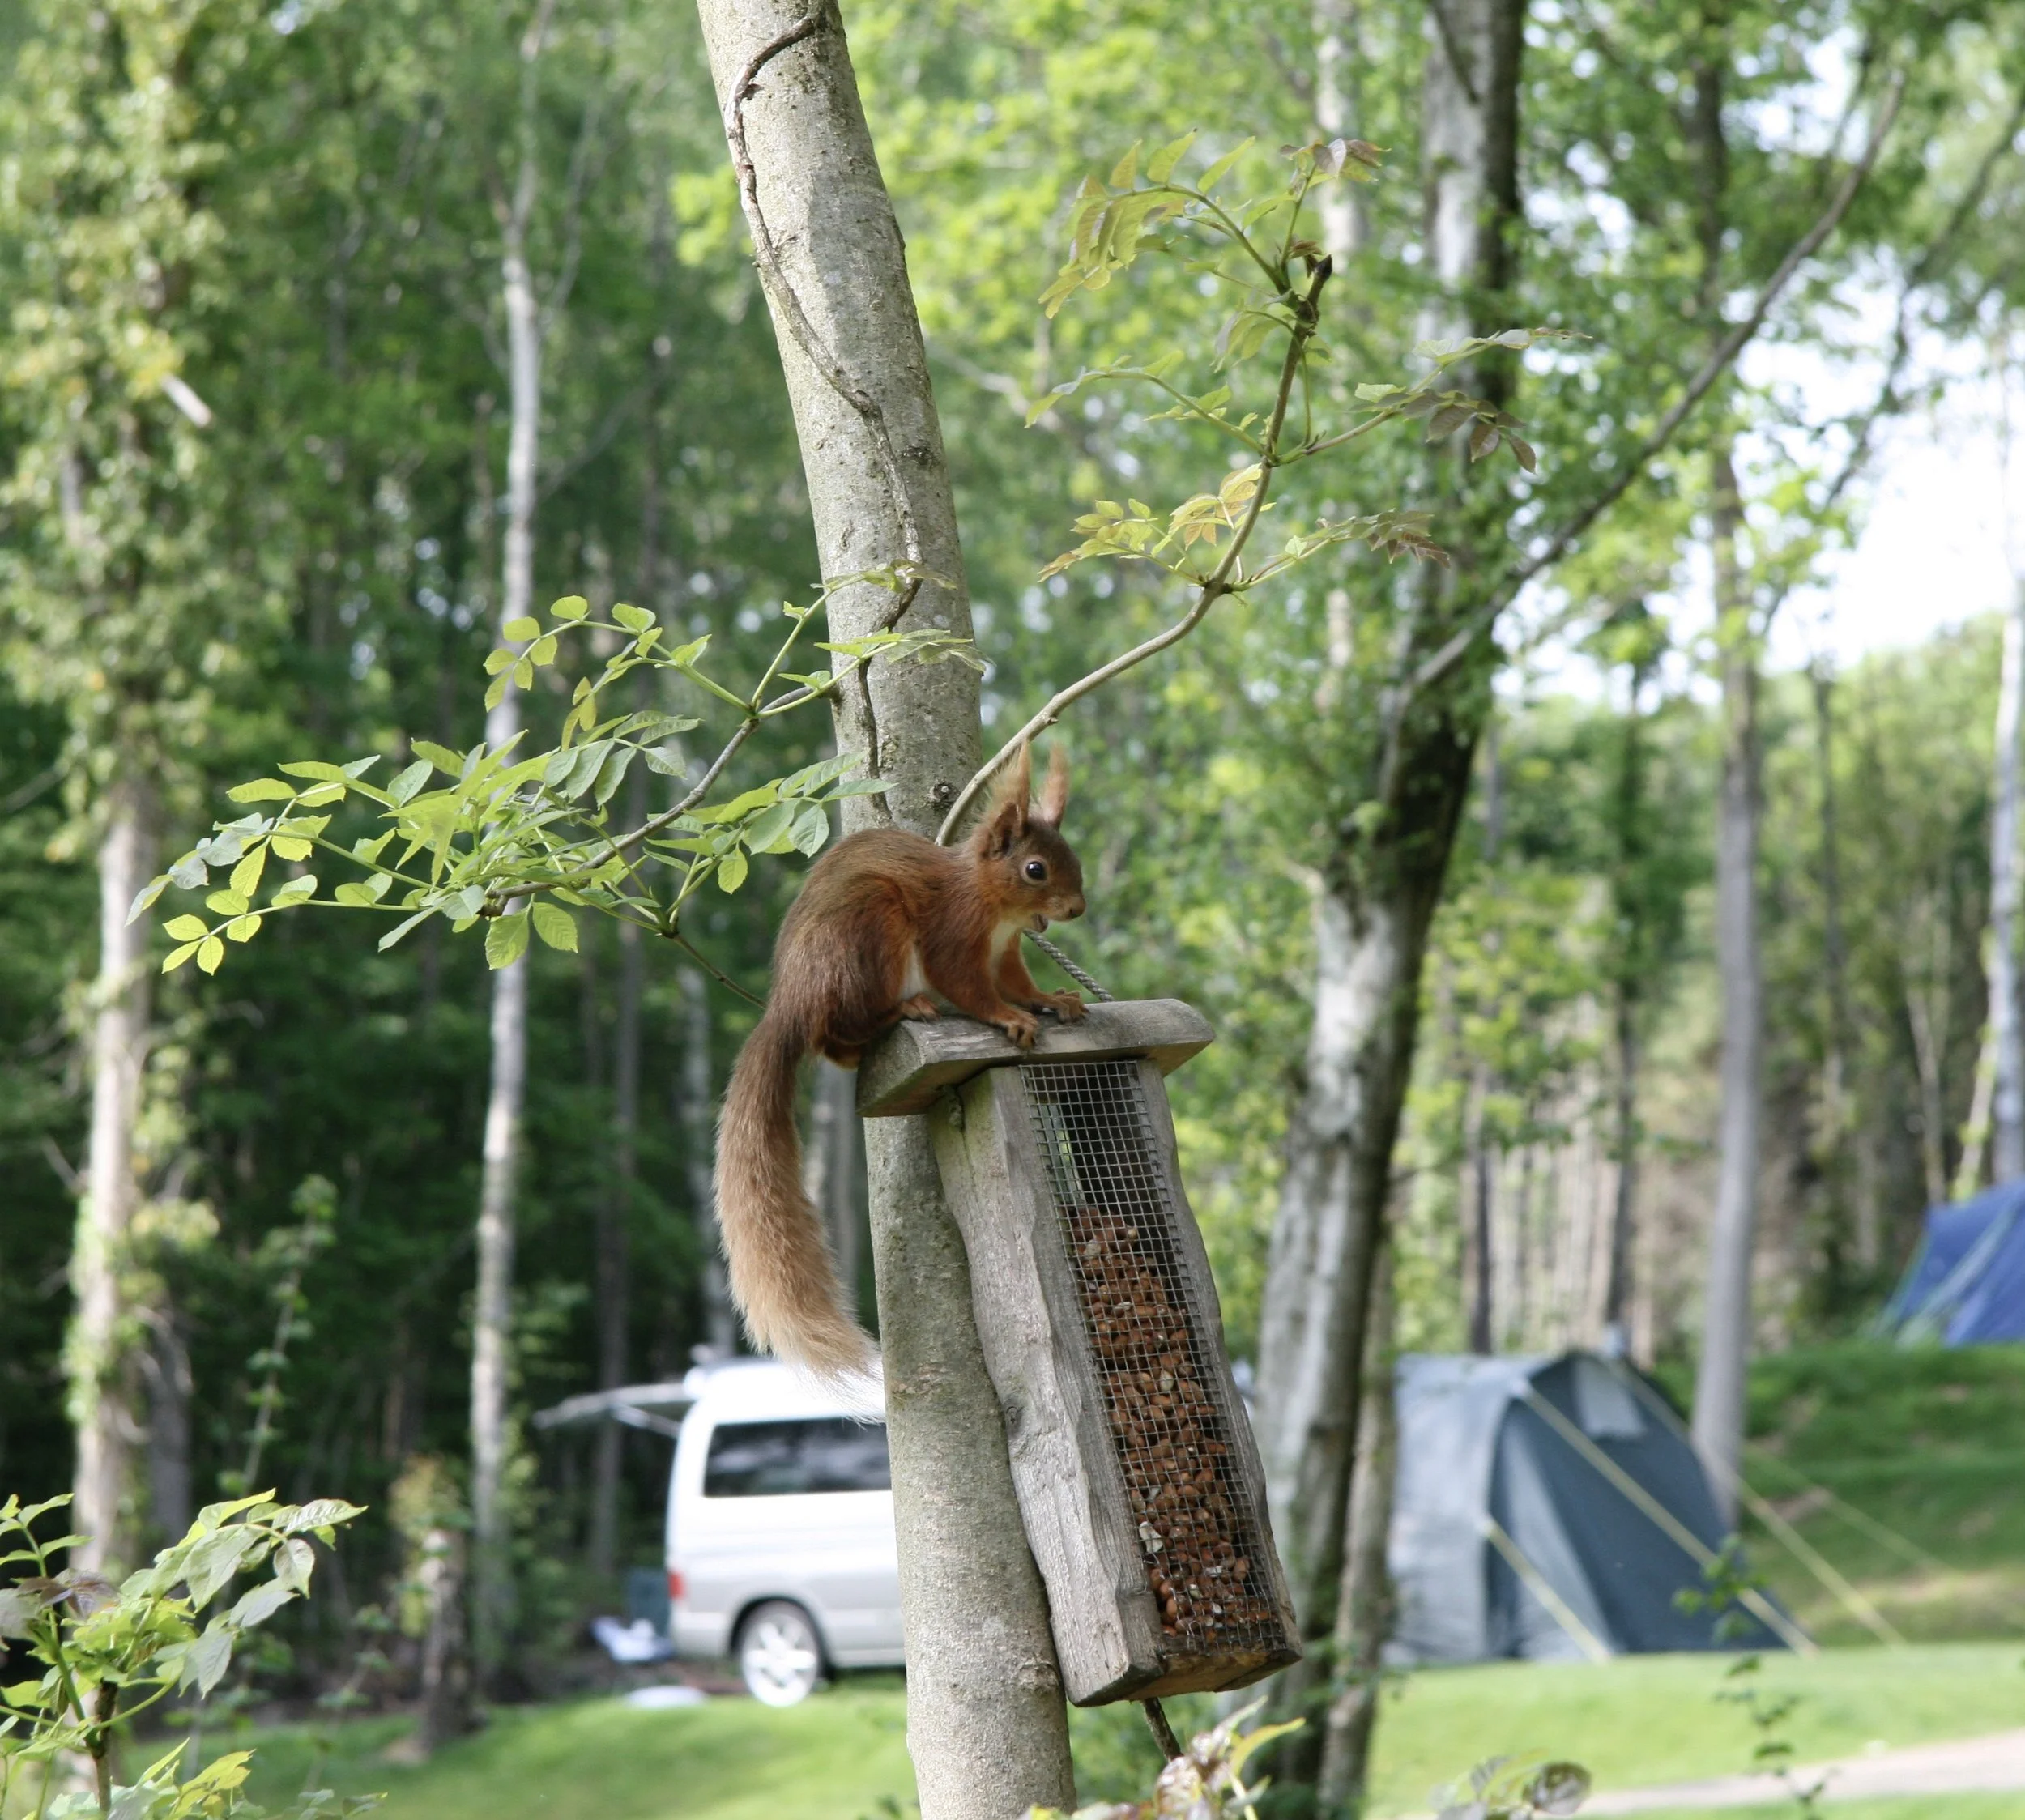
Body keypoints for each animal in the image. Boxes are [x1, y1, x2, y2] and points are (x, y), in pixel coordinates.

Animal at [715, 742, 1089, 1377]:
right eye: (1036, 869)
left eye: (1072, 858)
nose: (1079, 908)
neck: (995, 908)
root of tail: (790, 1001)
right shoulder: (954, 936)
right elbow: (970, 988)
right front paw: (1009, 1019)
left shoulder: (1007, 953)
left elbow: (1019, 984)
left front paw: (1055, 999)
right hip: (870, 925)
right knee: (840, 1030)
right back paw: (903, 1008)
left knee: (838, 1048)